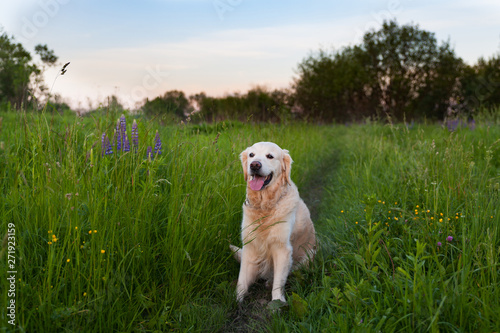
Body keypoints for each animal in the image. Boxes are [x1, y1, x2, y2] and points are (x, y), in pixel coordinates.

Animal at [230, 141, 316, 302]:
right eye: (251, 155)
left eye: (270, 156)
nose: (254, 165)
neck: (265, 206)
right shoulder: (249, 246)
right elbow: (242, 279)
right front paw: (236, 300)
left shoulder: (282, 248)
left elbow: (278, 281)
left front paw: (277, 302)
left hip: (308, 256)